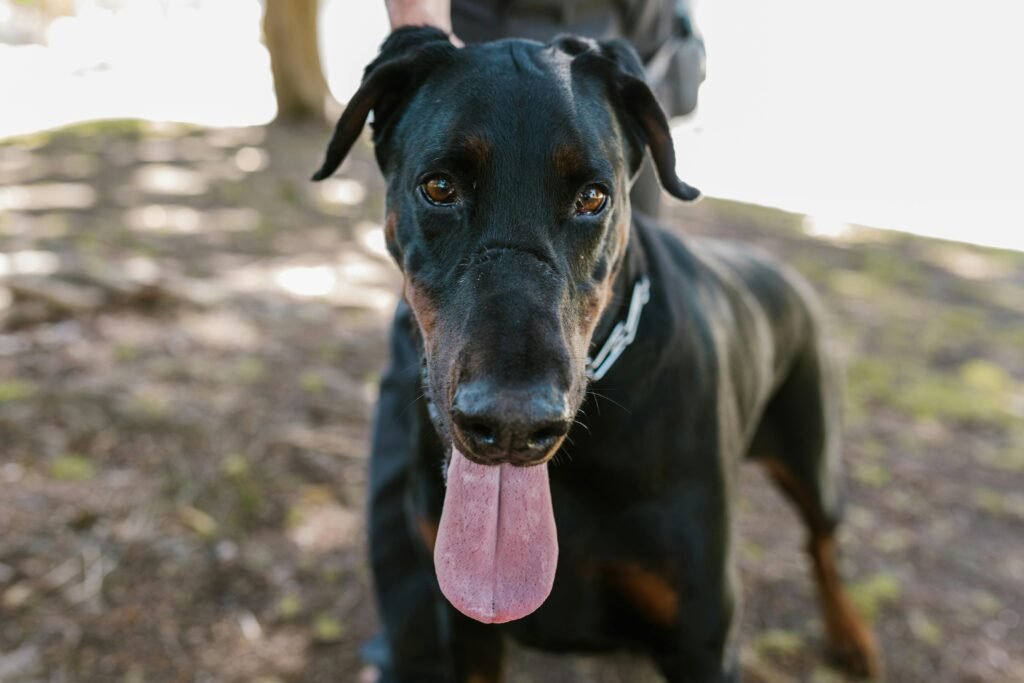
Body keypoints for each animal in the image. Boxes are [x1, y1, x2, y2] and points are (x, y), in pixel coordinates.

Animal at [313, 25, 880, 683]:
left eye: (592, 197)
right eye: (439, 187)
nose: (513, 424)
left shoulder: (702, 634)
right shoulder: (463, 624)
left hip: (812, 455)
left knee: (822, 542)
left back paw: (850, 635)